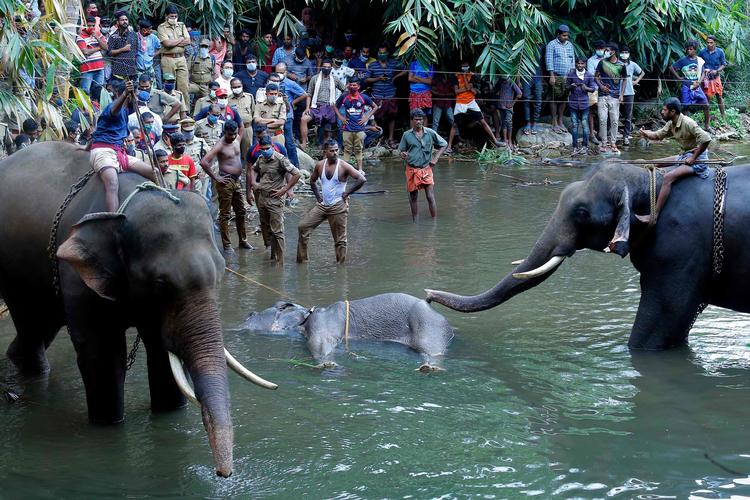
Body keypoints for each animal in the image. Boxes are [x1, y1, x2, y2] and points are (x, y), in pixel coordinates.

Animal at [0, 142, 276, 477]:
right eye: (160, 283)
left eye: (222, 272)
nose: (224, 474)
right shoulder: (77, 277)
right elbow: (104, 356)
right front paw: (108, 426)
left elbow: (160, 353)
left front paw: (169, 414)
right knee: (30, 321)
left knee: (42, 323)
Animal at [242, 293, 455, 369]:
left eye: (251, 315)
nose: (248, 313)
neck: (305, 317)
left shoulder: (321, 326)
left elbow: (319, 344)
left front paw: (327, 364)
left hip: (428, 327)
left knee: (432, 351)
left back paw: (429, 367)